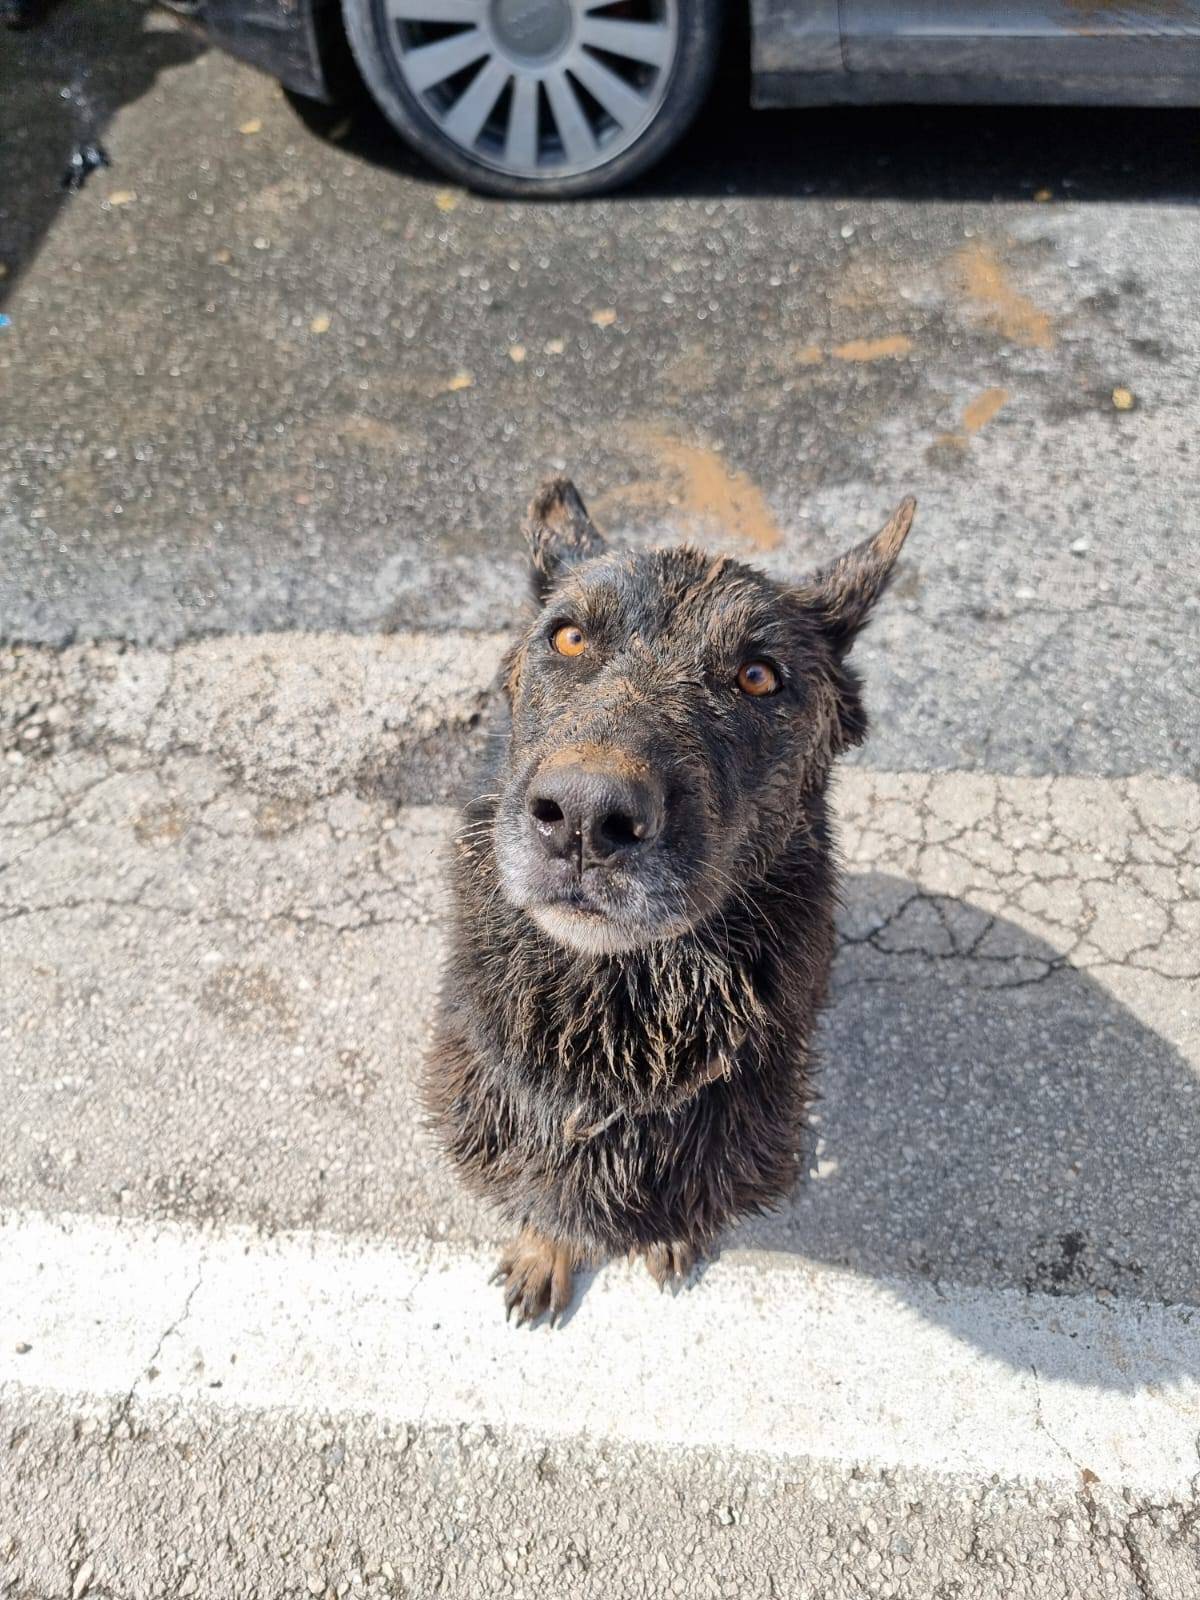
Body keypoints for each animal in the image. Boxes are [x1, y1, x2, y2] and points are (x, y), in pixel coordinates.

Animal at [428, 476, 915, 1324]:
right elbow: (548, 1201)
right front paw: (545, 1248)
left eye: (758, 676)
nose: (584, 817)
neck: (615, 1027)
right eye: (568, 639)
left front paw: (672, 1240)